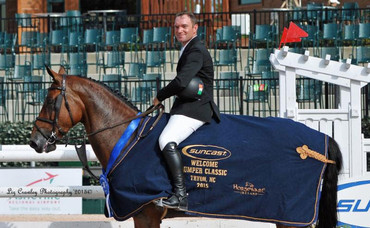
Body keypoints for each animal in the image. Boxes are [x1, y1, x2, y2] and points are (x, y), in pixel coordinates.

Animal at [30, 66, 342, 228]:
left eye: (50, 101)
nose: (35, 141)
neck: (126, 137)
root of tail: (319, 141)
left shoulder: (146, 214)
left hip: (292, 217)